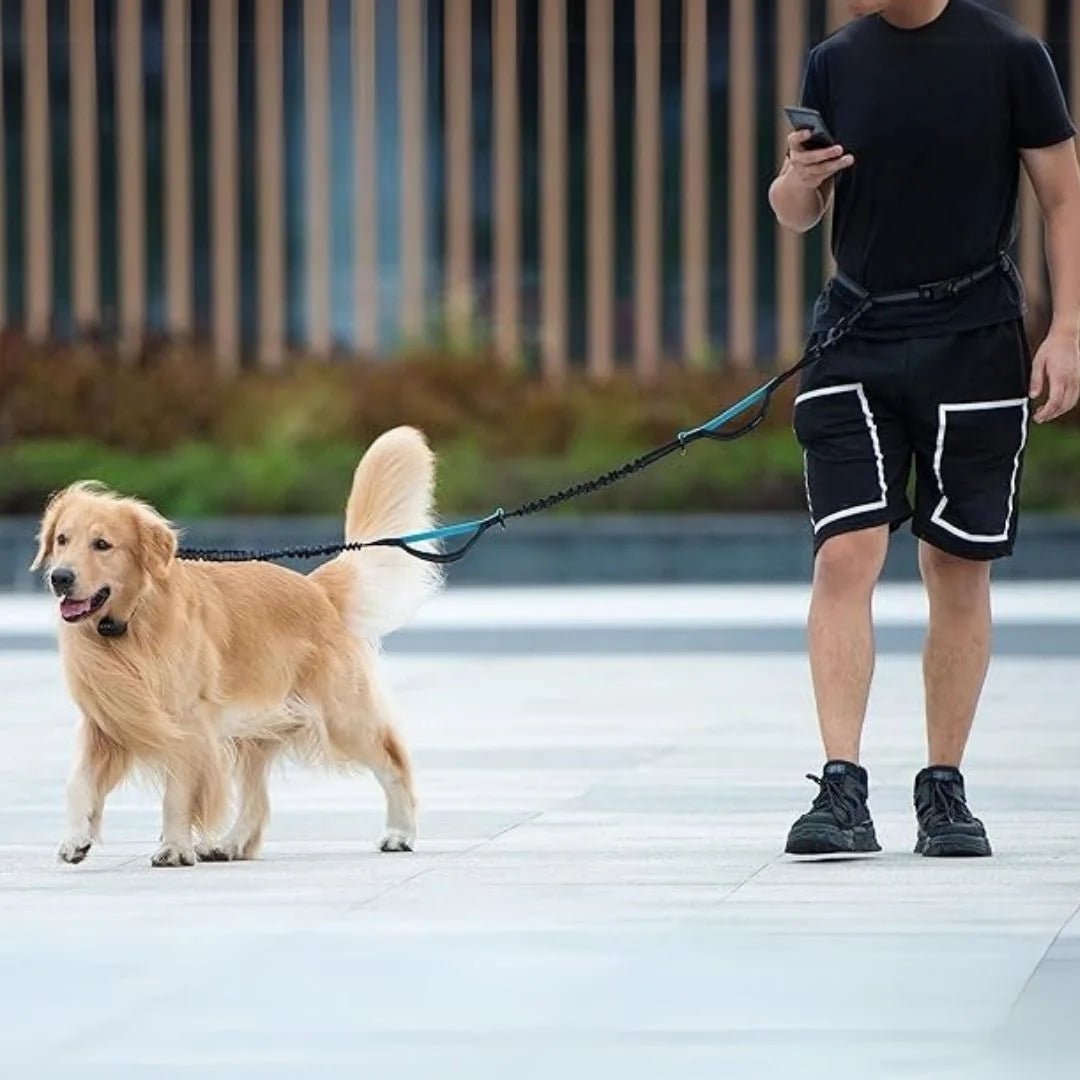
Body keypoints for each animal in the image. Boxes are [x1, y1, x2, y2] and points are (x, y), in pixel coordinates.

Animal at [32, 425, 442, 864]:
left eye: (102, 545)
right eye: (62, 539)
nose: (60, 577)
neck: (131, 624)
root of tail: (316, 589)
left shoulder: (187, 722)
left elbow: (177, 793)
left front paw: (174, 847)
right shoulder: (106, 719)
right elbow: (78, 783)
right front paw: (76, 839)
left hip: (343, 715)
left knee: (393, 762)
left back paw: (400, 833)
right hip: (252, 727)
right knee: (257, 798)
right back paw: (231, 843)